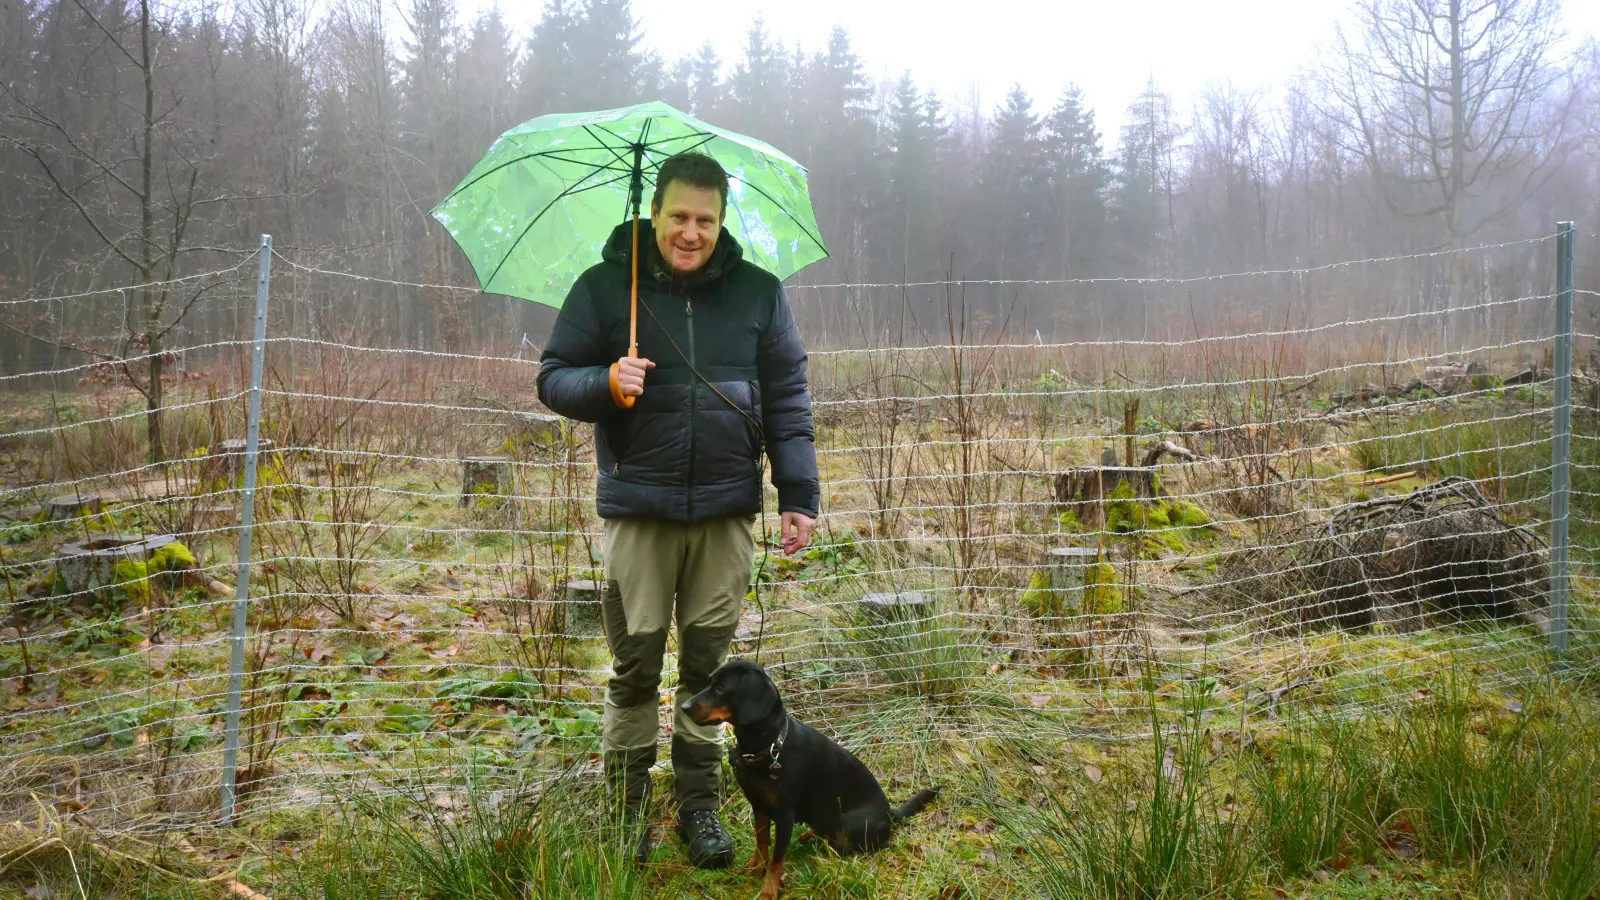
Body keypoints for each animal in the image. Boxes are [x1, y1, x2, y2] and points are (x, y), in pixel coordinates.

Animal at [678, 656, 934, 890]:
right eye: (710, 682)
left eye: (721, 688)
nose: (684, 708)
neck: (769, 747)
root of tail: (891, 814)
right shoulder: (759, 805)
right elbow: (761, 841)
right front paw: (754, 868)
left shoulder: (784, 816)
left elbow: (776, 860)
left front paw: (767, 892)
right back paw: (809, 835)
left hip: (850, 822)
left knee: (861, 843)